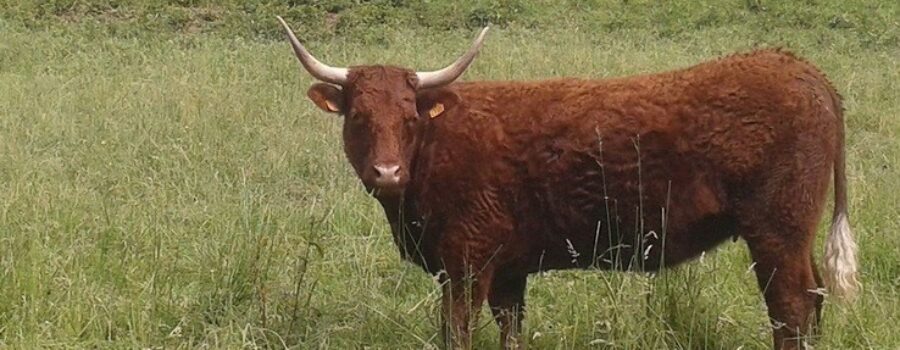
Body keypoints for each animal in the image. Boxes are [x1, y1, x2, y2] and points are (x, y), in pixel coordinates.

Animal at [278, 17, 860, 350]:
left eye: (409, 116)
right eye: (358, 117)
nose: (387, 173)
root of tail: (804, 70)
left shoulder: (465, 263)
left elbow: (457, 333)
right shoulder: (508, 270)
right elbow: (510, 332)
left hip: (775, 231)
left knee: (791, 309)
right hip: (792, 234)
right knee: (813, 297)